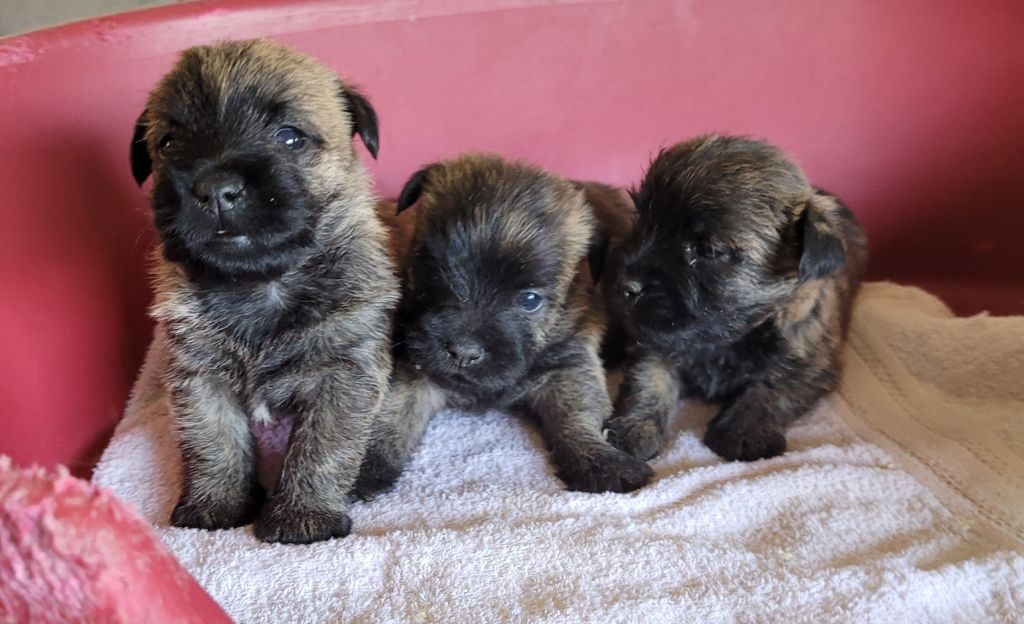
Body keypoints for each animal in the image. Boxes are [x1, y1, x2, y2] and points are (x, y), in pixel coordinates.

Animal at [129, 38, 399, 541]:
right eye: (168, 143)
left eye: (289, 136)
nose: (216, 188)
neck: (259, 284)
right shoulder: (200, 378)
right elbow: (211, 440)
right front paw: (216, 504)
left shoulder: (345, 374)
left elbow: (321, 448)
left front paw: (303, 516)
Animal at [356, 153, 651, 493]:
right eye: (432, 271)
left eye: (530, 300)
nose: (464, 352)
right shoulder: (413, 366)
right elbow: (393, 413)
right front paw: (365, 466)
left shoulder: (569, 365)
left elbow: (577, 415)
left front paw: (599, 460)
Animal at [602, 135, 868, 463]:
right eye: (640, 218)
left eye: (709, 250)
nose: (624, 285)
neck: (727, 341)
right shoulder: (655, 344)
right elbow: (648, 381)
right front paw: (632, 427)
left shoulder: (810, 366)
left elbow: (774, 389)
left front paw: (743, 431)